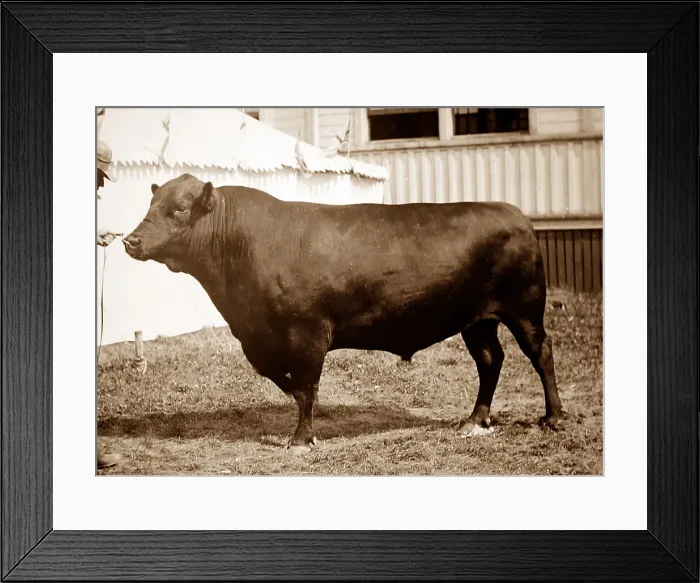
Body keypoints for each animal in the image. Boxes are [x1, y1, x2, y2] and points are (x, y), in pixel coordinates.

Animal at [123, 173, 565, 455]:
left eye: (181, 208)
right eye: (151, 203)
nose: (131, 240)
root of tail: (515, 215)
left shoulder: (307, 333)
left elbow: (306, 387)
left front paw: (301, 439)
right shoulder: (258, 339)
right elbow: (287, 382)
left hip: (524, 308)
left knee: (540, 353)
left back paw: (553, 417)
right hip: (476, 320)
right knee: (490, 360)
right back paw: (476, 420)